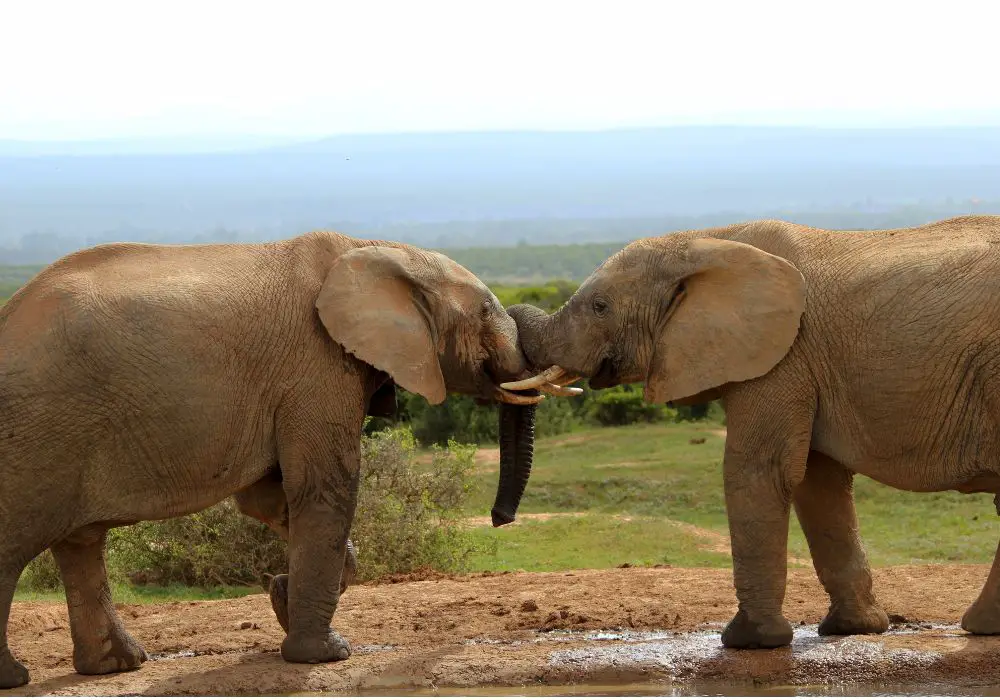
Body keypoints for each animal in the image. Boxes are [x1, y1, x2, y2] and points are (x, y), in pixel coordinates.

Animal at [0, 231, 572, 688]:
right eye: (485, 313)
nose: (500, 519)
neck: (374, 248)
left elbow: (270, 500)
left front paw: (283, 598)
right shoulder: (317, 366)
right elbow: (324, 490)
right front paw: (325, 655)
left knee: (81, 542)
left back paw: (118, 666)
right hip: (37, 428)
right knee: (20, 541)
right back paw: (19, 677)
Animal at [500, 217, 1000, 652]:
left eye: (599, 307)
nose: (502, 520)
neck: (706, 241)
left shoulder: (782, 354)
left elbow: (759, 471)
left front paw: (748, 642)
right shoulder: (801, 363)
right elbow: (818, 481)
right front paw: (852, 630)